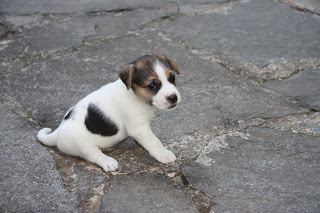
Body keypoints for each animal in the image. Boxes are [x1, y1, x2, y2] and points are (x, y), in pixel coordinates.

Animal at [36, 54, 181, 172]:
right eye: (151, 86)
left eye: (172, 77)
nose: (173, 97)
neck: (133, 93)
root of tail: (58, 131)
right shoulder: (139, 128)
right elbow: (154, 141)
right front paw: (164, 153)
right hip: (82, 145)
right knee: (93, 154)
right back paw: (108, 161)